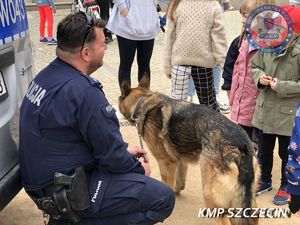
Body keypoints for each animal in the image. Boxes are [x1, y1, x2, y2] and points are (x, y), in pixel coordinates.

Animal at [118, 74, 258, 224]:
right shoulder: (180, 160)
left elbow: (167, 184)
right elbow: (180, 182)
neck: (142, 100)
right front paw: (176, 191)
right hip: (248, 202)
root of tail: (240, 144)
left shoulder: (165, 162)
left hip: (211, 195)